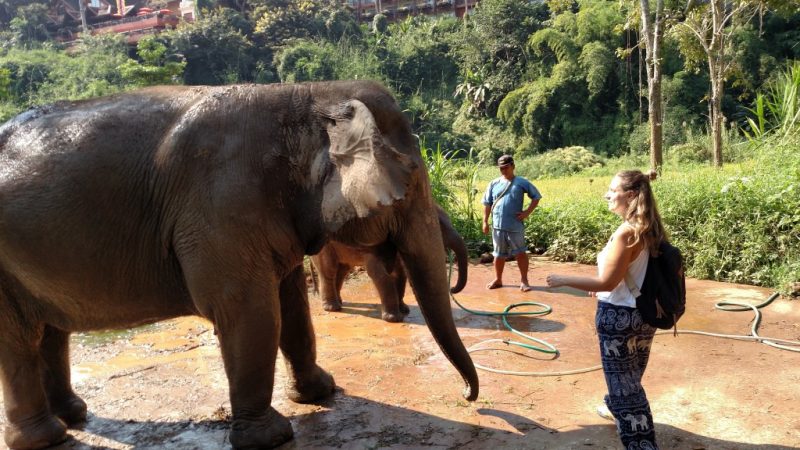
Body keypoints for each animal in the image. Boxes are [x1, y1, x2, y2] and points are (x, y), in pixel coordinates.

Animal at [308, 202, 468, 322]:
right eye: (437, 228)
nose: (452, 288)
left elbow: (400, 275)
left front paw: (404, 310)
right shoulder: (376, 243)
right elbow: (380, 274)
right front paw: (394, 319)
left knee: (342, 270)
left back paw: (339, 303)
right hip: (324, 245)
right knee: (329, 270)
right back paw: (333, 308)